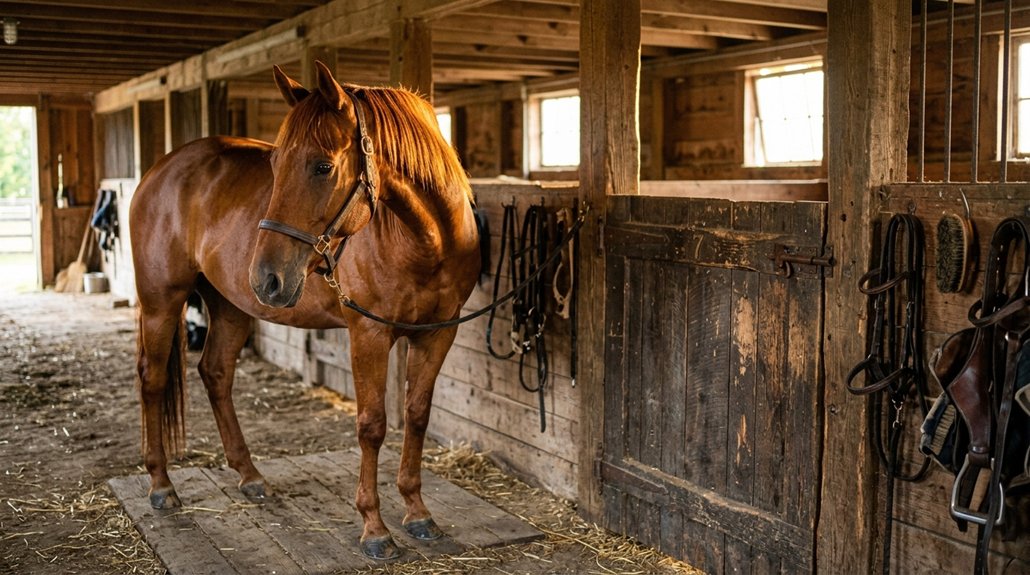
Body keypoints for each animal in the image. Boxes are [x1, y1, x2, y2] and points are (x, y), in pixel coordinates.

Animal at [129, 61, 481, 560]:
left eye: (322, 166)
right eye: (275, 165)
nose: (267, 277)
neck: (425, 239)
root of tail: (160, 169)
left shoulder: (437, 332)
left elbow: (417, 415)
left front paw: (417, 512)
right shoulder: (369, 334)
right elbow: (372, 425)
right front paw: (374, 527)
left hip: (231, 305)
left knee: (215, 373)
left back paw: (250, 476)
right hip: (161, 301)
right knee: (153, 380)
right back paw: (161, 485)